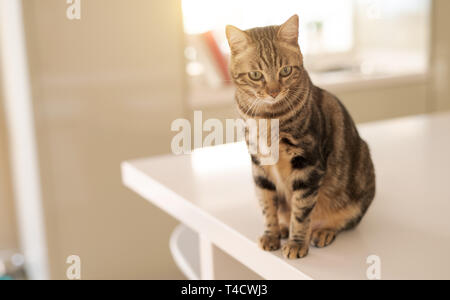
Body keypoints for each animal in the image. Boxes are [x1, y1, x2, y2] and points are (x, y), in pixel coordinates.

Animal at [225, 15, 376, 260]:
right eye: (256, 75)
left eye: (285, 70)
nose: (274, 92)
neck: (268, 117)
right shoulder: (259, 166)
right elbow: (268, 206)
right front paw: (271, 234)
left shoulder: (308, 163)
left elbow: (302, 211)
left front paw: (296, 243)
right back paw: (283, 228)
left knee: (342, 222)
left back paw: (322, 231)